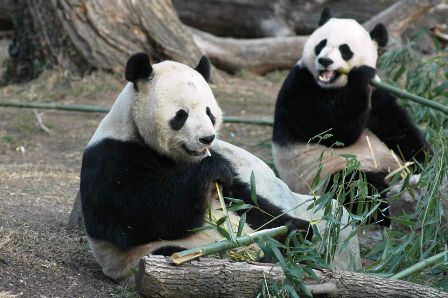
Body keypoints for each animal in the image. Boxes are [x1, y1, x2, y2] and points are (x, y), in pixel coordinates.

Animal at [79, 53, 360, 284]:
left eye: (209, 112)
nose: (207, 138)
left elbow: (248, 201)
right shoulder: (112, 159)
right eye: (181, 115)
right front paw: (211, 173)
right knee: (184, 253)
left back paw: (293, 241)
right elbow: (144, 213)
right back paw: (260, 256)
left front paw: (298, 227)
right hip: (143, 257)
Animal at [272, 7, 428, 226]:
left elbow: (398, 128)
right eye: (321, 44)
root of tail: (394, 177)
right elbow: (332, 129)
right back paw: (385, 208)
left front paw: (430, 163)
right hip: (327, 174)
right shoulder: (299, 85)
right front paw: (360, 75)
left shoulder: (377, 94)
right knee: (355, 186)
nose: (325, 61)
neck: (335, 86)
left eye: (345, 49)